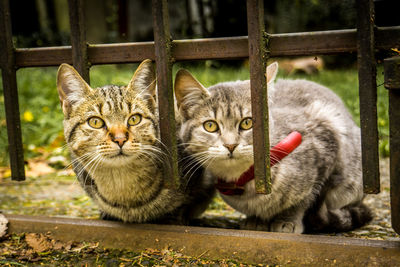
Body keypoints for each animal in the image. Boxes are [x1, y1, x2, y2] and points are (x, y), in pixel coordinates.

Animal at [175, 62, 372, 234]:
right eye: (210, 126)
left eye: (247, 123)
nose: (231, 145)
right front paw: (256, 220)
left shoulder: (326, 141)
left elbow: (304, 200)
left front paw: (287, 220)